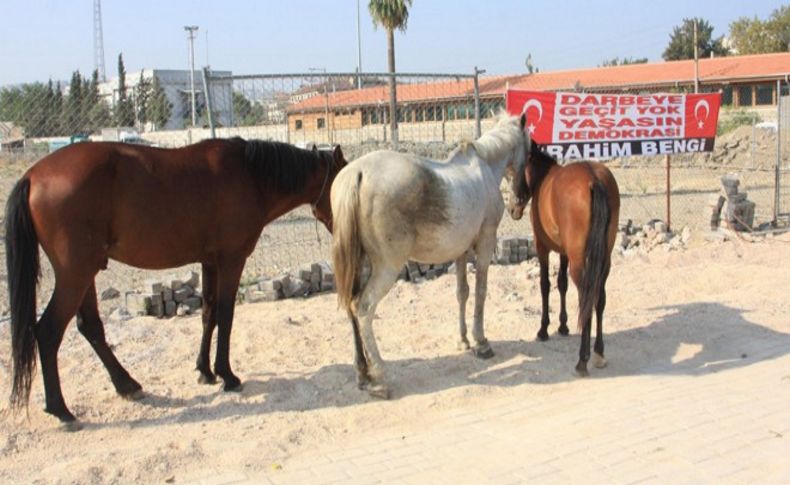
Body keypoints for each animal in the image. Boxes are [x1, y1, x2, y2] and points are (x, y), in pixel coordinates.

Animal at [6, 138, 346, 430]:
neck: (251, 176)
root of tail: (32, 175)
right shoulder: (231, 259)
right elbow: (226, 314)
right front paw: (227, 375)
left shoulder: (210, 262)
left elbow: (209, 314)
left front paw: (205, 371)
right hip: (75, 274)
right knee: (48, 332)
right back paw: (61, 410)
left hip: (85, 273)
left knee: (90, 328)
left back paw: (126, 385)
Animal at [334, 113, 532, 398]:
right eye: (529, 151)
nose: (519, 204)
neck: (484, 168)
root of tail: (357, 173)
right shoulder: (485, 245)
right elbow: (481, 292)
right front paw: (481, 342)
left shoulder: (461, 252)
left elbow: (462, 293)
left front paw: (463, 340)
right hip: (386, 268)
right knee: (364, 309)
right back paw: (379, 377)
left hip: (359, 264)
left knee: (351, 308)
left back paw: (363, 374)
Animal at [508, 142, 624, 376]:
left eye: (514, 171)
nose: (512, 208)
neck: (543, 178)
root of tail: (594, 179)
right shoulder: (563, 252)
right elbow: (561, 284)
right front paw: (563, 326)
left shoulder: (542, 248)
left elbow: (545, 284)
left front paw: (543, 329)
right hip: (603, 261)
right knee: (599, 298)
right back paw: (598, 352)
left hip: (579, 263)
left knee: (585, 299)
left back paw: (582, 359)